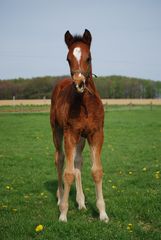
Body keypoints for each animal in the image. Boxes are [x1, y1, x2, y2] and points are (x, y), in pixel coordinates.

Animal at [49, 29, 109, 222]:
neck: (85, 105)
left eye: (89, 58)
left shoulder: (96, 134)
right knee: (60, 159)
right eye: (68, 59)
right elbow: (68, 173)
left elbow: (96, 171)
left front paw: (103, 213)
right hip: (57, 131)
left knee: (77, 162)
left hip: (81, 139)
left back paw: (81, 202)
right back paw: (60, 197)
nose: (79, 83)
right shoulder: (70, 134)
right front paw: (63, 214)